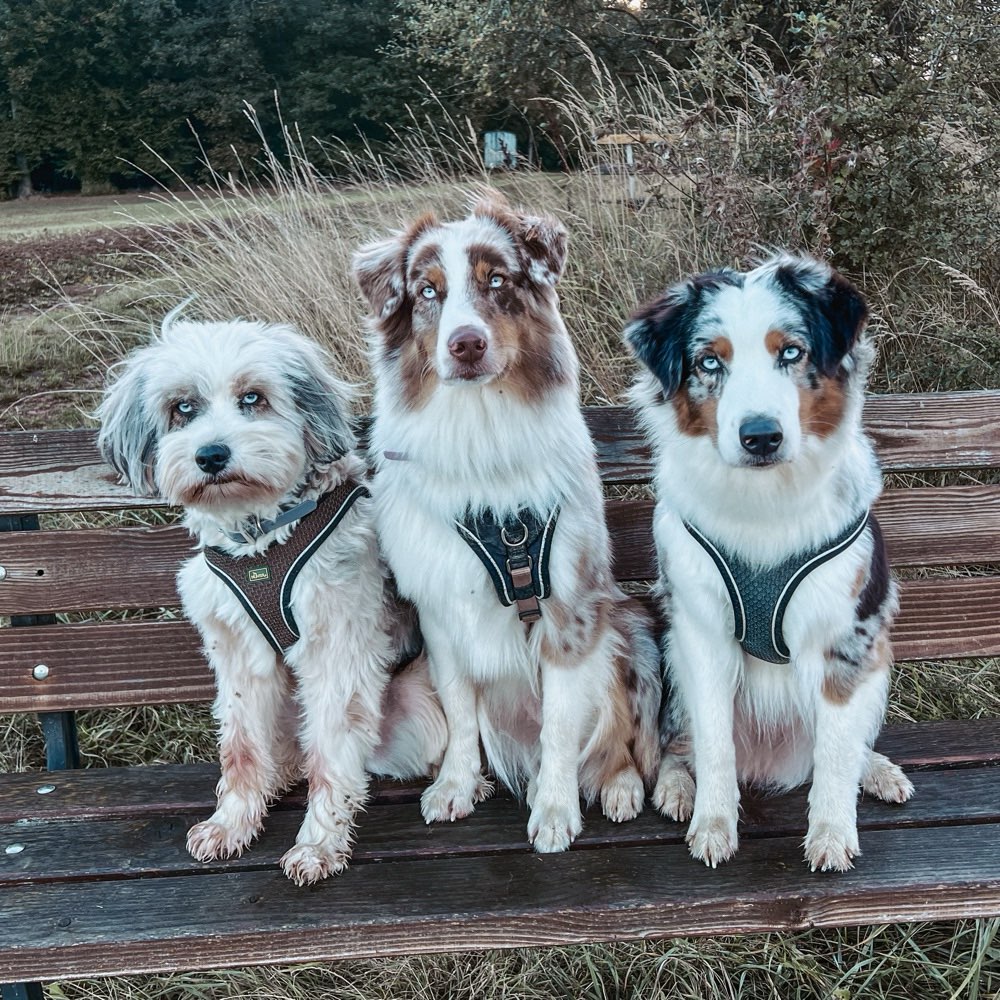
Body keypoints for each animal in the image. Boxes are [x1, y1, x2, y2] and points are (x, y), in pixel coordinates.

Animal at [98, 310, 446, 884]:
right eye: (182, 407)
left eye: (252, 397)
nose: (211, 455)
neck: (260, 539)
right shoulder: (238, 652)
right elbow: (240, 745)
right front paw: (231, 823)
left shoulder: (337, 646)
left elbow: (331, 755)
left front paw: (318, 844)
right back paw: (278, 774)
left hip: (416, 701)